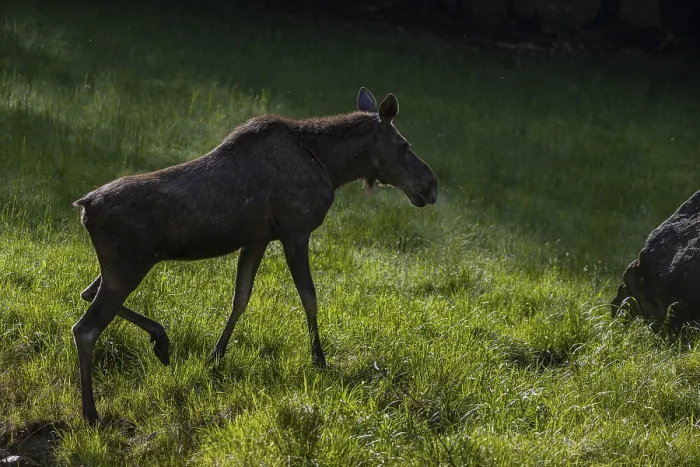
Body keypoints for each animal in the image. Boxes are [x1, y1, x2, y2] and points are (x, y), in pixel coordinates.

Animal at [72, 87, 438, 423]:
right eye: (404, 144)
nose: (431, 185)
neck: (333, 167)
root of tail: (85, 207)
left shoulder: (258, 239)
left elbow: (241, 297)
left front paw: (216, 355)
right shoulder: (295, 230)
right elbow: (309, 297)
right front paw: (319, 360)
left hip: (123, 264)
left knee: (87, 292)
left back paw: (160, 340)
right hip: (128, 265)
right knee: (85, 328)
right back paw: (91, 413)